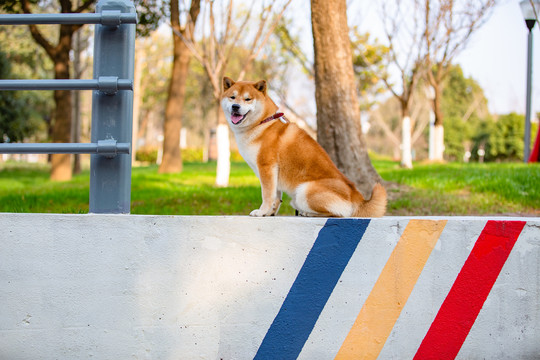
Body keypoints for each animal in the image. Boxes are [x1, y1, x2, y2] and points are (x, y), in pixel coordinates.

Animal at [221, 76, 386, 217]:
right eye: (232, 97)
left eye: (248, 99)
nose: (235, 106)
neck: (263, 122)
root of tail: (357, 197)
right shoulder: (273, 173)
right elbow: (276, 197)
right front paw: (270, 213)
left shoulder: (266, 167)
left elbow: (267, 195)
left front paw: (262, 211)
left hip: (303, 192)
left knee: (338, 214)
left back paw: (308, 213)